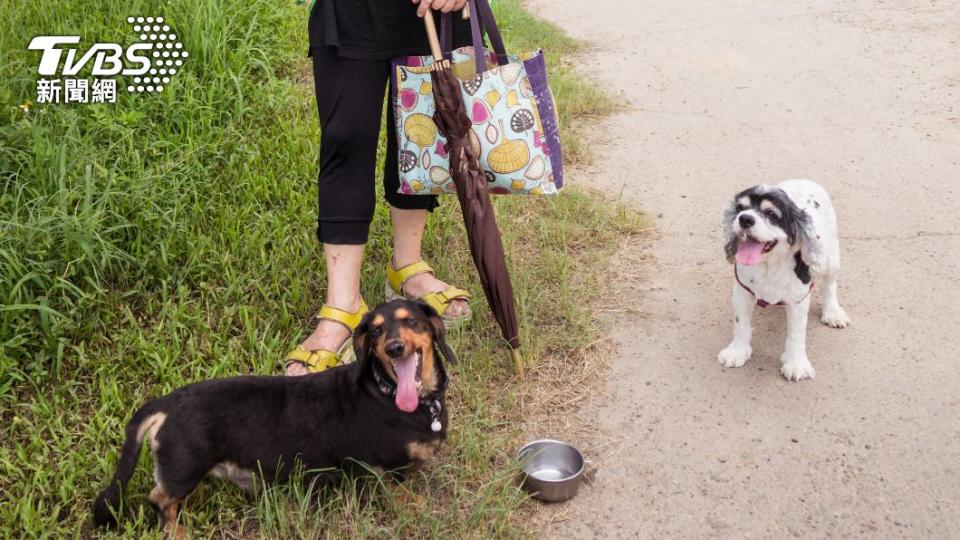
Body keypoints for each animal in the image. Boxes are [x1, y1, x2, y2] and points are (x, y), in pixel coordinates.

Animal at [92, 300, 460, 532]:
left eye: (411, 320)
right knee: (159, 499)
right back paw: (178, 532)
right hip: (187, 467)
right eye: (375, 332)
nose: (394, 348)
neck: (389, 393)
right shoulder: (386, 467)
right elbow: (402, 493)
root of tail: (165, 403)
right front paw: (420, 508)